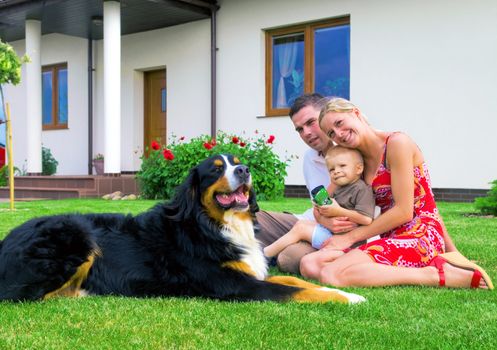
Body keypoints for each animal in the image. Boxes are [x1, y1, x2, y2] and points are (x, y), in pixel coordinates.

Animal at [0, 154, 364, 304]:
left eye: (237, 162)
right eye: (216, 169)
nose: (245, 170)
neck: (213, 224)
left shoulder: (249, 272)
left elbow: (293, 281)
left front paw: (342, 291)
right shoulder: (234, 284)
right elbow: (294, 291)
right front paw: (349, 298)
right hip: (77, 233)